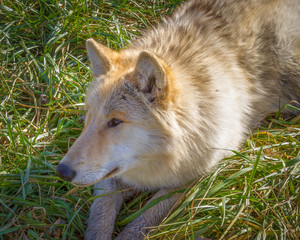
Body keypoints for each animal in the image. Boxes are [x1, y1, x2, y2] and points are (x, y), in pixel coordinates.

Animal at [56, 0, 300, 238]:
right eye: (89, 116)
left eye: (115, 122)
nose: (62, 171)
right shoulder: (111, 175)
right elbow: (101, 214)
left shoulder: (198, 172)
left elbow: (146, 218)